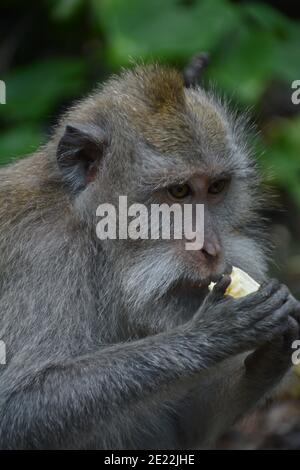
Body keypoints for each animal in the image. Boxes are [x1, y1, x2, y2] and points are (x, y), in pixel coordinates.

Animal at [0, 61, 298, 448]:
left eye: (216, 188)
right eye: (179, 191)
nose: (211, 248)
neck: (96, 242)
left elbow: (188, 428)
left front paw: (277, 350)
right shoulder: (45, 254)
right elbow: (18, 411)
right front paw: (209, 334)